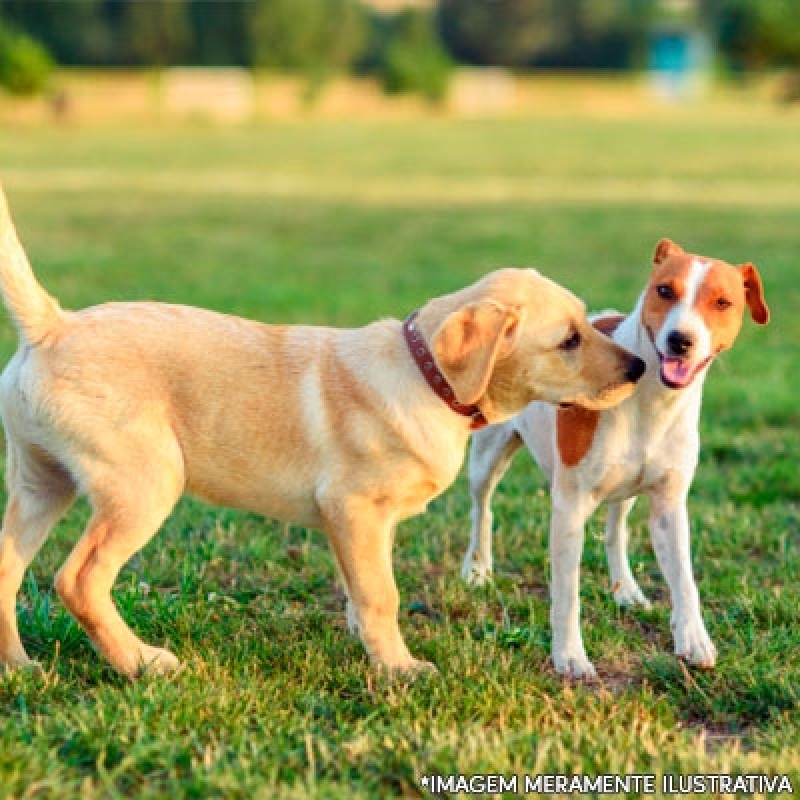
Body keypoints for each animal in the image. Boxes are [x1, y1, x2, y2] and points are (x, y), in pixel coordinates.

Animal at [0, 189, 644, 680]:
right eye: (568, 341)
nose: (639, 367)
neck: (424, 375)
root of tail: (53, 326)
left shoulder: (354, 522)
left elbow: (361, 586)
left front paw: (369, 645)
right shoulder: (354, 506)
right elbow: (382, 594)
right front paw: (400, 670)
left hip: (41, 483)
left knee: (7, 568)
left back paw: (19, 667)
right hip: (145, 483)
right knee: (79, 580)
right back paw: (141, 662)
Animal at [462, 241, 768, 680]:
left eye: (723, 302)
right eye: (664, 290)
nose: (680, 339)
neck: (652, 400)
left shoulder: (669, 506)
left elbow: (685, 579)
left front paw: (693, 638)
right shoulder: (570, 507)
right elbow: (566, 593)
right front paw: (570, 655)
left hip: (627, 488)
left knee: (616, 530)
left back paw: (626, 589)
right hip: (487, 455)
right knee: (481, 509)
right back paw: (477, 569)